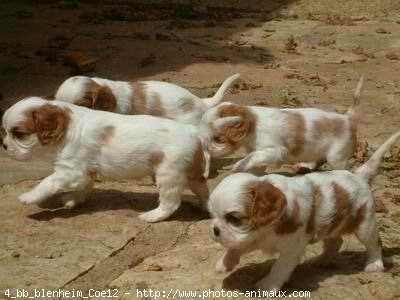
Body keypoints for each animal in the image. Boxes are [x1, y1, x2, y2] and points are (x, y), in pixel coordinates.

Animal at [2, 97, 209, 221]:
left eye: (18, 134)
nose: (3, 146)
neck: (67, 129)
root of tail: (193, 131)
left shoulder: (71, 171)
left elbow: (47, 181)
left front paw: (29, 196)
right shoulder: (85, 172)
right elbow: (83, 187)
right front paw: (73, 200)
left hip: (169, 174)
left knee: (171, 202)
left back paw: (152, 215)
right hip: (192, 173)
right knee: (204, 191)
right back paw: (205, 207)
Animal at [202, 76, 364, 172]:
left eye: (218, 139)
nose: (206, 149)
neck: (253, 124)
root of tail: (347, 118)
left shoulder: (274, 150)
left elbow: (253, 156)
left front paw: (238, 166)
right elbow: (252, 156)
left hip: (337, 157)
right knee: (317, 160)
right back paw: (306, 166)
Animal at [209, 131, 400, 290]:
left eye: (234, 218)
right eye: (213, 216)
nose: (215, 230)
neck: (266, 228)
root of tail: (358, 175)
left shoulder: (292, 248)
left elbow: (279, 268)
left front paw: (267, 286)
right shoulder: (254, 236)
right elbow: (236, 246)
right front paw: (225, 262)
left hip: (364, 224)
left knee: (374, 243)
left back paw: (374, 264)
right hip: (332, 224)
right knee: (335, 242)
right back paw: (322, 260)